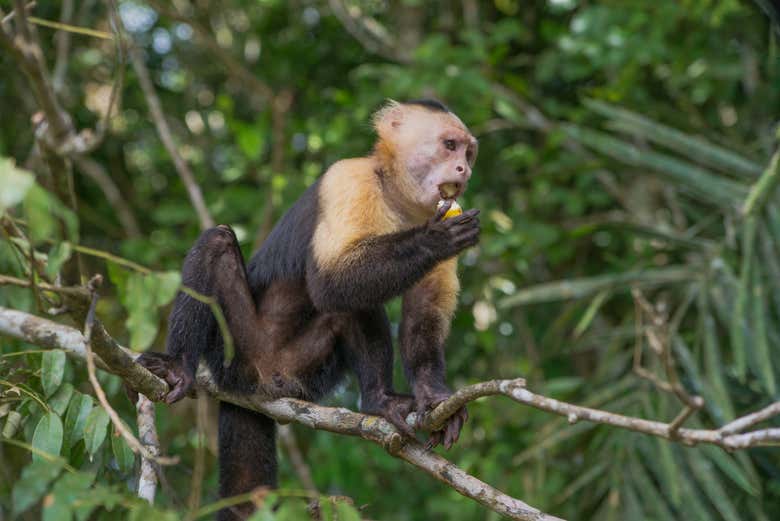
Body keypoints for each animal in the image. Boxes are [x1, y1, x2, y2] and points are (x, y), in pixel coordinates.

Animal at [137, 99, 480, 520]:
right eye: (449, 146)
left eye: (468, 152)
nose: (464, 169)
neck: (396, 194)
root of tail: (257, 383)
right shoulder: (348, 179)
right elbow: (330, 281)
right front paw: (437, 238)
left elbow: (424, 310)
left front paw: (433, 397)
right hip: (232, 350)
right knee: (220, 243)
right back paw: (178, 364)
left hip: (306, 369)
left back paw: (379, 401)